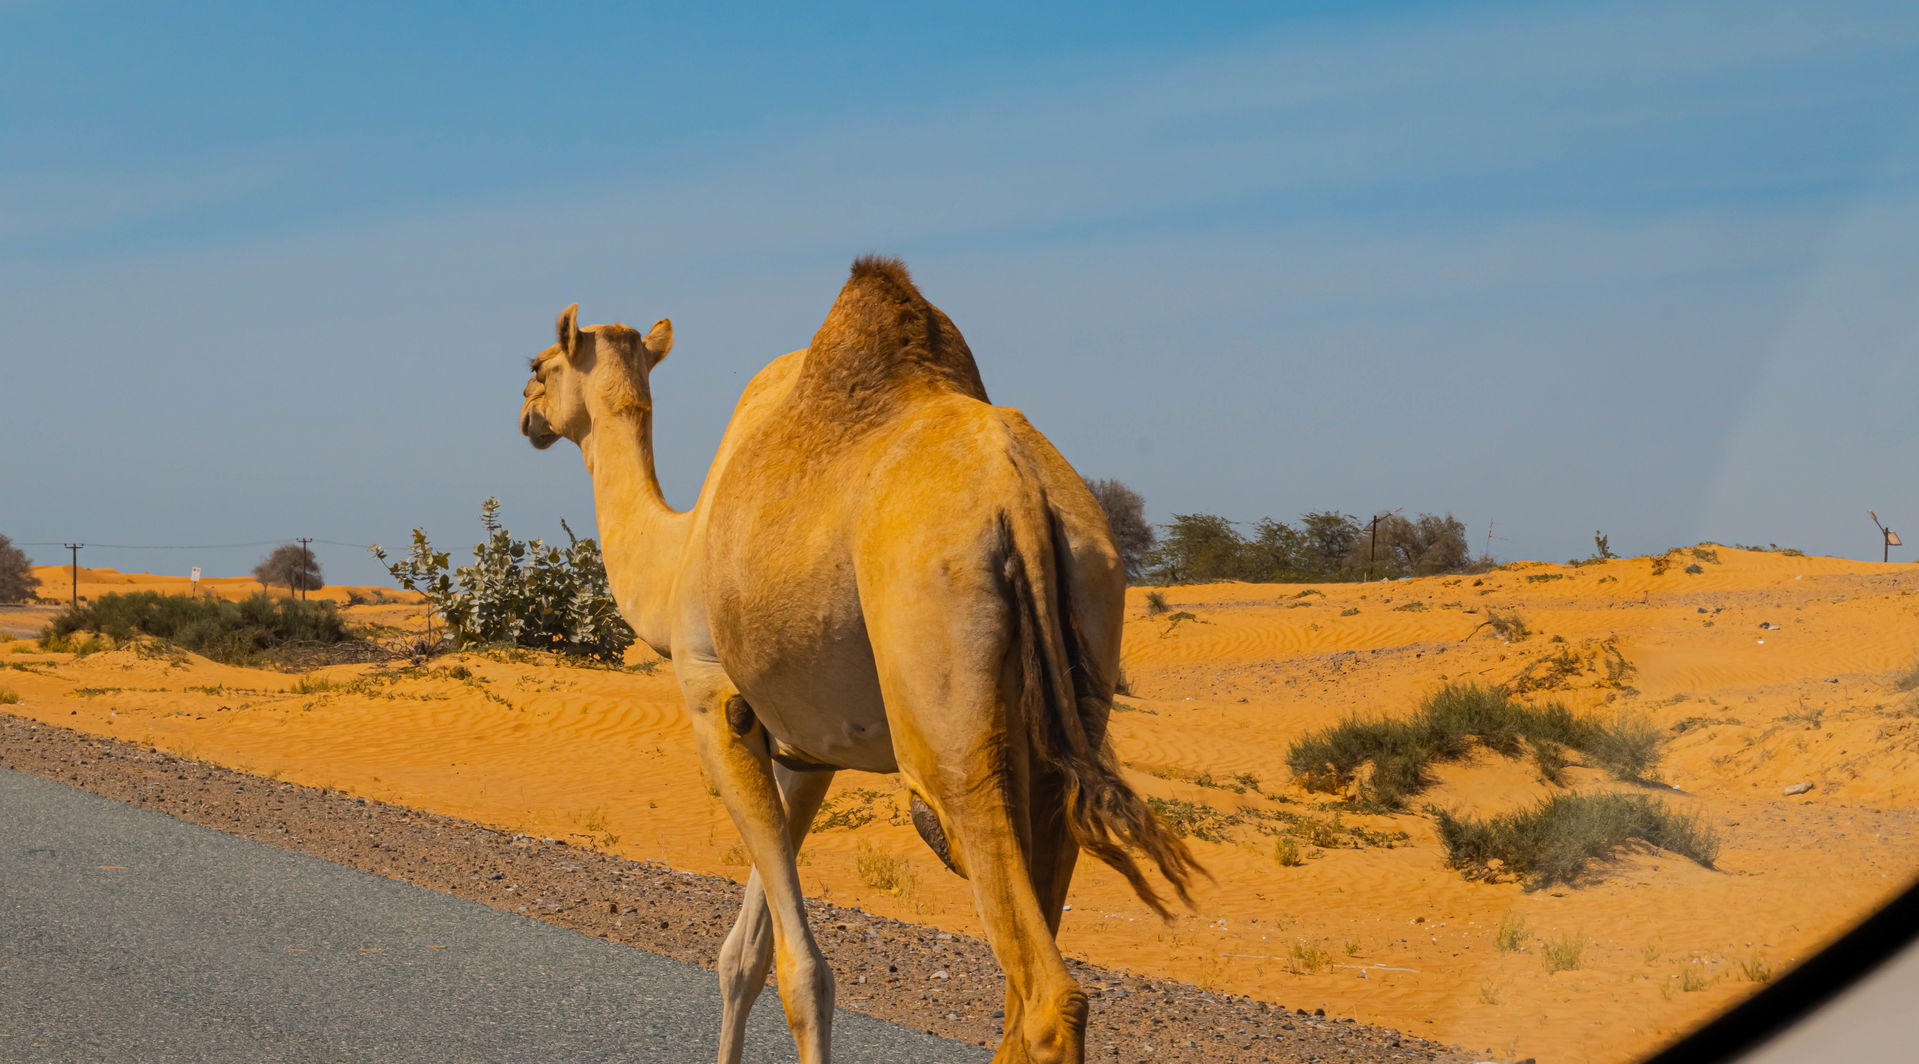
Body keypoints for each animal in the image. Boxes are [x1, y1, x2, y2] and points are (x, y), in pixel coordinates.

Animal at [519, 257, 1198, 1064]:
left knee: (1041, 986)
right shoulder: (808, 750)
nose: (526, 414)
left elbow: (802, 971)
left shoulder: (714, 700)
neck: (676, 557)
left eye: (538, 366)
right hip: (1084, 639)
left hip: (942, 691)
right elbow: (743, 956)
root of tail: (1020, 492)